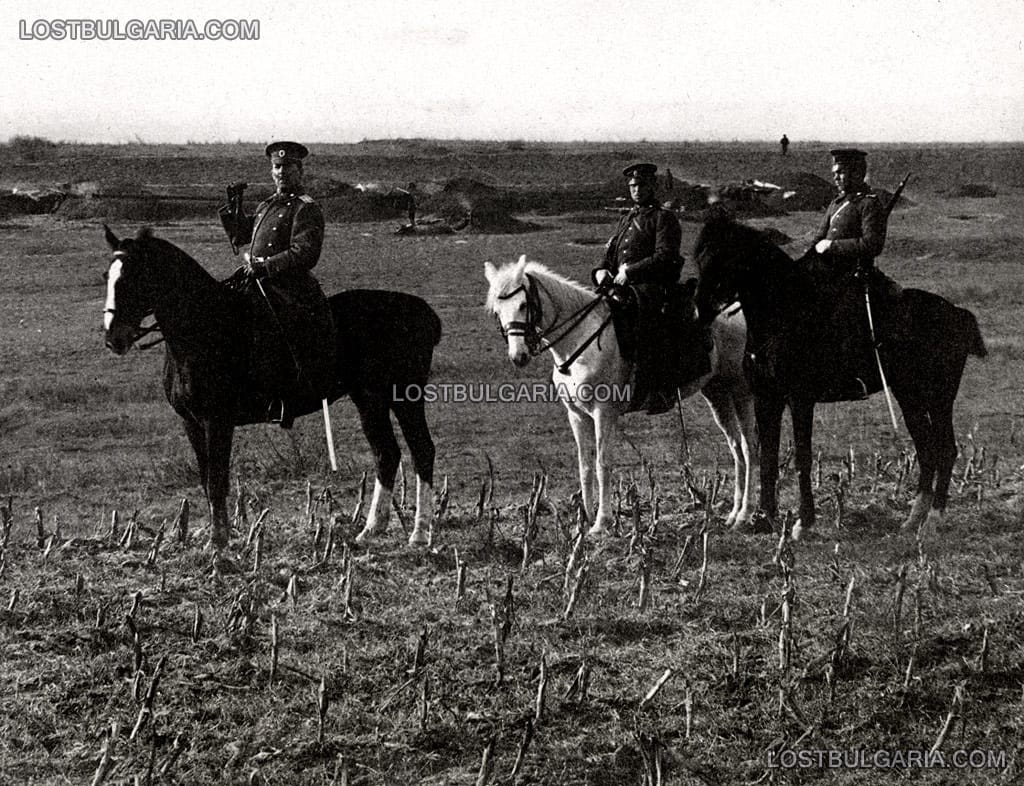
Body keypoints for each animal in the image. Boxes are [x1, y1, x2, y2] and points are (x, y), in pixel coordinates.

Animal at [483, 255, 757, 532]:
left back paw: (745, 514)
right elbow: (584, 466)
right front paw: (584, 520)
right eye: (497, 311)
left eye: (523, 305)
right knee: (735, 447)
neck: (581, 340)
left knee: (749, 447)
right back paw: (733, 513)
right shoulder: (576, 415)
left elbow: (602, 463)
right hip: (718, 393)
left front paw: (601, 522)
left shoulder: (603, 413)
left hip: (741, 392)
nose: (518, 356)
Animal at [692, 211, 987, 536]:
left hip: (937, 397)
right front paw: (763, 518)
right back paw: (913, 519)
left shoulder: (800, 399)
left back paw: (933, 517)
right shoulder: (766, 398)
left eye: (724, 257)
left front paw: (803, 522)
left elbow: (802, 458)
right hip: (910, 397)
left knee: (945, 450)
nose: (700, 311)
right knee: (928, 450)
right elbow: (767, 455)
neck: (784, 313)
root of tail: (956, 312)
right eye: (700, 259)